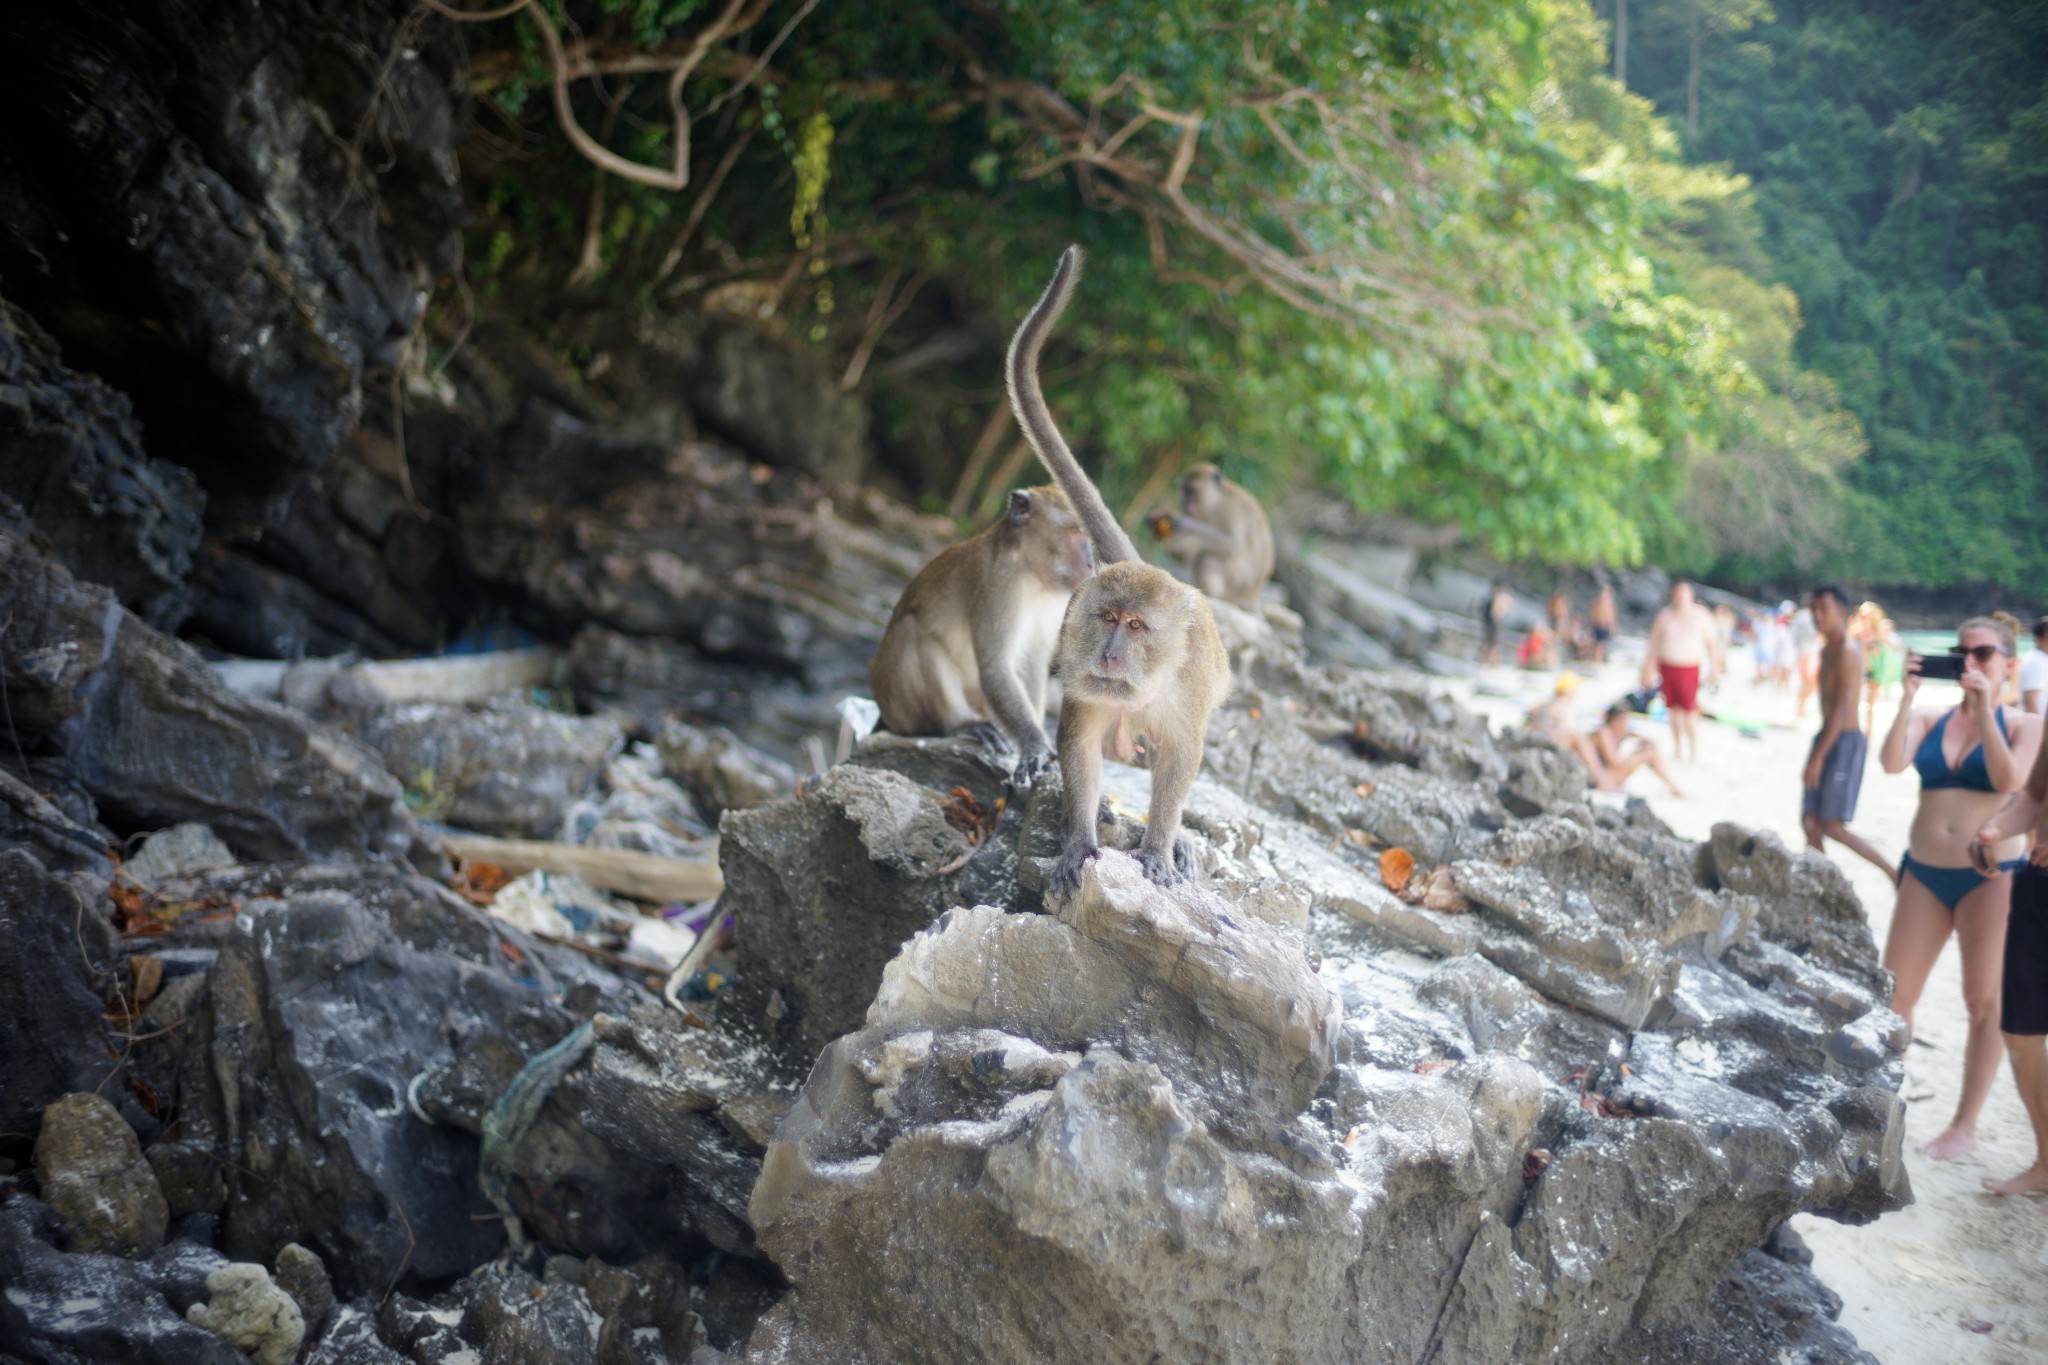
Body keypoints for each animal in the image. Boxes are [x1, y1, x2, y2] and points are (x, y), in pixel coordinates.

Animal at [868, 482, 1097, 785]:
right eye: (1074, 531)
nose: (1091, 562)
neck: (1033, 573)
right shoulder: (998, 584)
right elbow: (995, 667)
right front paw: (1035, 745)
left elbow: (1033, 664)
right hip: (898, 704)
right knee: (913, 634)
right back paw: (962, 725)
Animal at [1007, 250, 1228, 900]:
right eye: (1106, 618)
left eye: (1135, 627)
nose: (1107, 652)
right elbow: (1078, 746)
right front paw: (1079, 842)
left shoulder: (1188, 689)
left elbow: (1180, 757)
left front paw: (1157, 846)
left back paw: (1174, 839)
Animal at [1146, 462, 1269, 609]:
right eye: (1185, 492)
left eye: (1193, 492)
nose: (1187, 504)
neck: (1217, 501)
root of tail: (1252, 594)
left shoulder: (1231, 509)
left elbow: (1233, 544)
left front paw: (1185, 524)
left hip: (1236, 581)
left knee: (1208, 556)